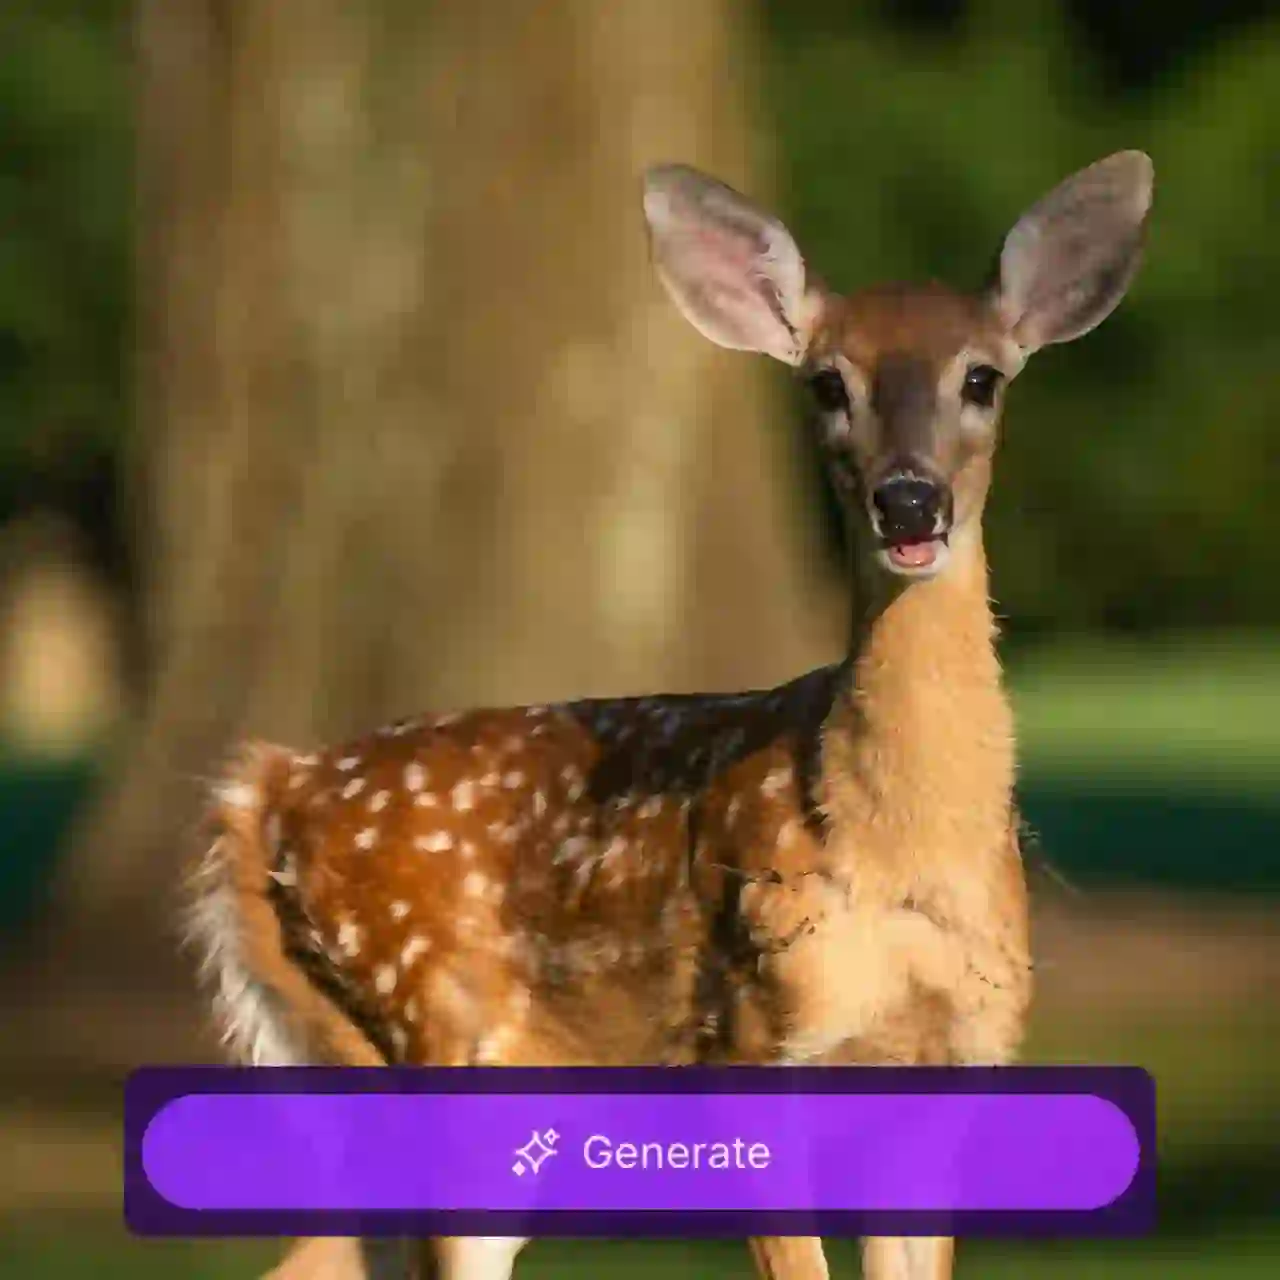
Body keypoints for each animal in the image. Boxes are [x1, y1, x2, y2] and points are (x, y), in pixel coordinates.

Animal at [187, 150, 1154, 1280]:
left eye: (981, 378)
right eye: (827, 383)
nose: (909, 502)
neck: (894, 848)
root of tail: (263, 790)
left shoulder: (957, 1055)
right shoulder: (749, 1039)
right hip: (433, 1030)